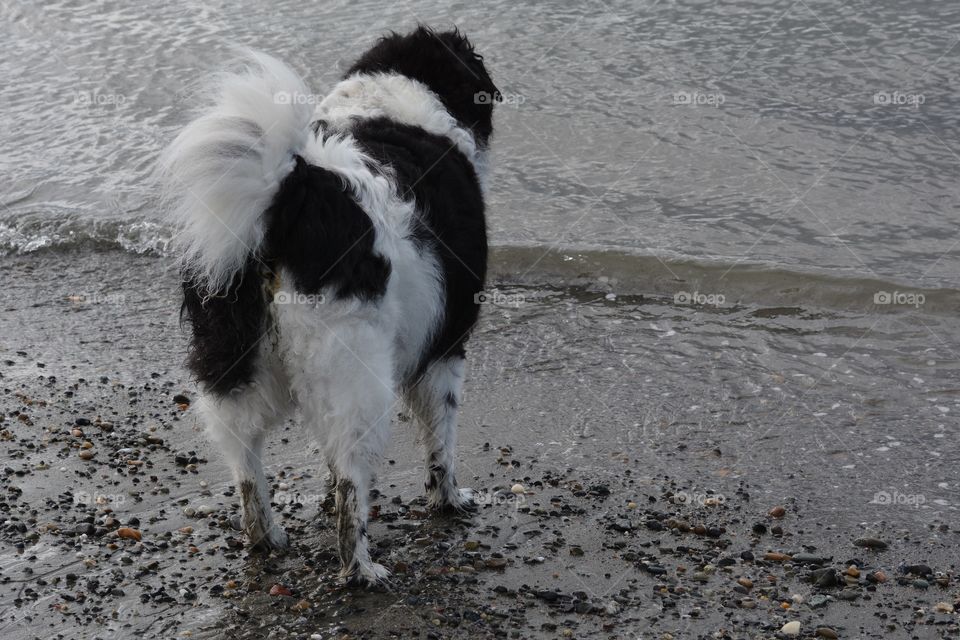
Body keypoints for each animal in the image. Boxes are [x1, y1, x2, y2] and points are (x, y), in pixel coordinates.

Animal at [160, 27, 498, 584]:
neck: (391, 103)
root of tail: (292, 192)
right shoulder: (447, 344)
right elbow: (441, 437)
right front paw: (449, 500)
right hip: (357, 369)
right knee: (352, 481)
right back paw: (360, 567)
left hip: (231, 355)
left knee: (245, 458)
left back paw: (265, 537)